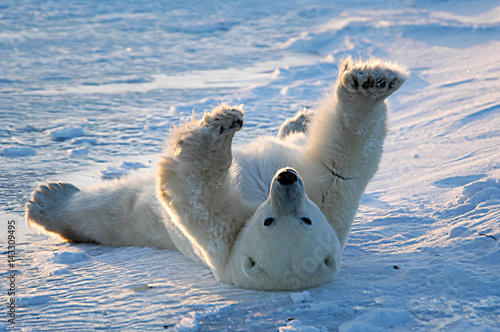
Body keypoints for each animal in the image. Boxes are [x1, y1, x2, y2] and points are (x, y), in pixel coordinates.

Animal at [25, 57, 408, 290]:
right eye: (270, 220)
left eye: (303, 221)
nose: (286, 178)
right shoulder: (328, 198)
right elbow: (343, 159)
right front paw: (372, 82)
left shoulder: (225, 238)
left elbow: (194, 190)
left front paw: (217, 131)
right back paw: (299, 119)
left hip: (146, 222)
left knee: (114, 211)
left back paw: (47, 200)